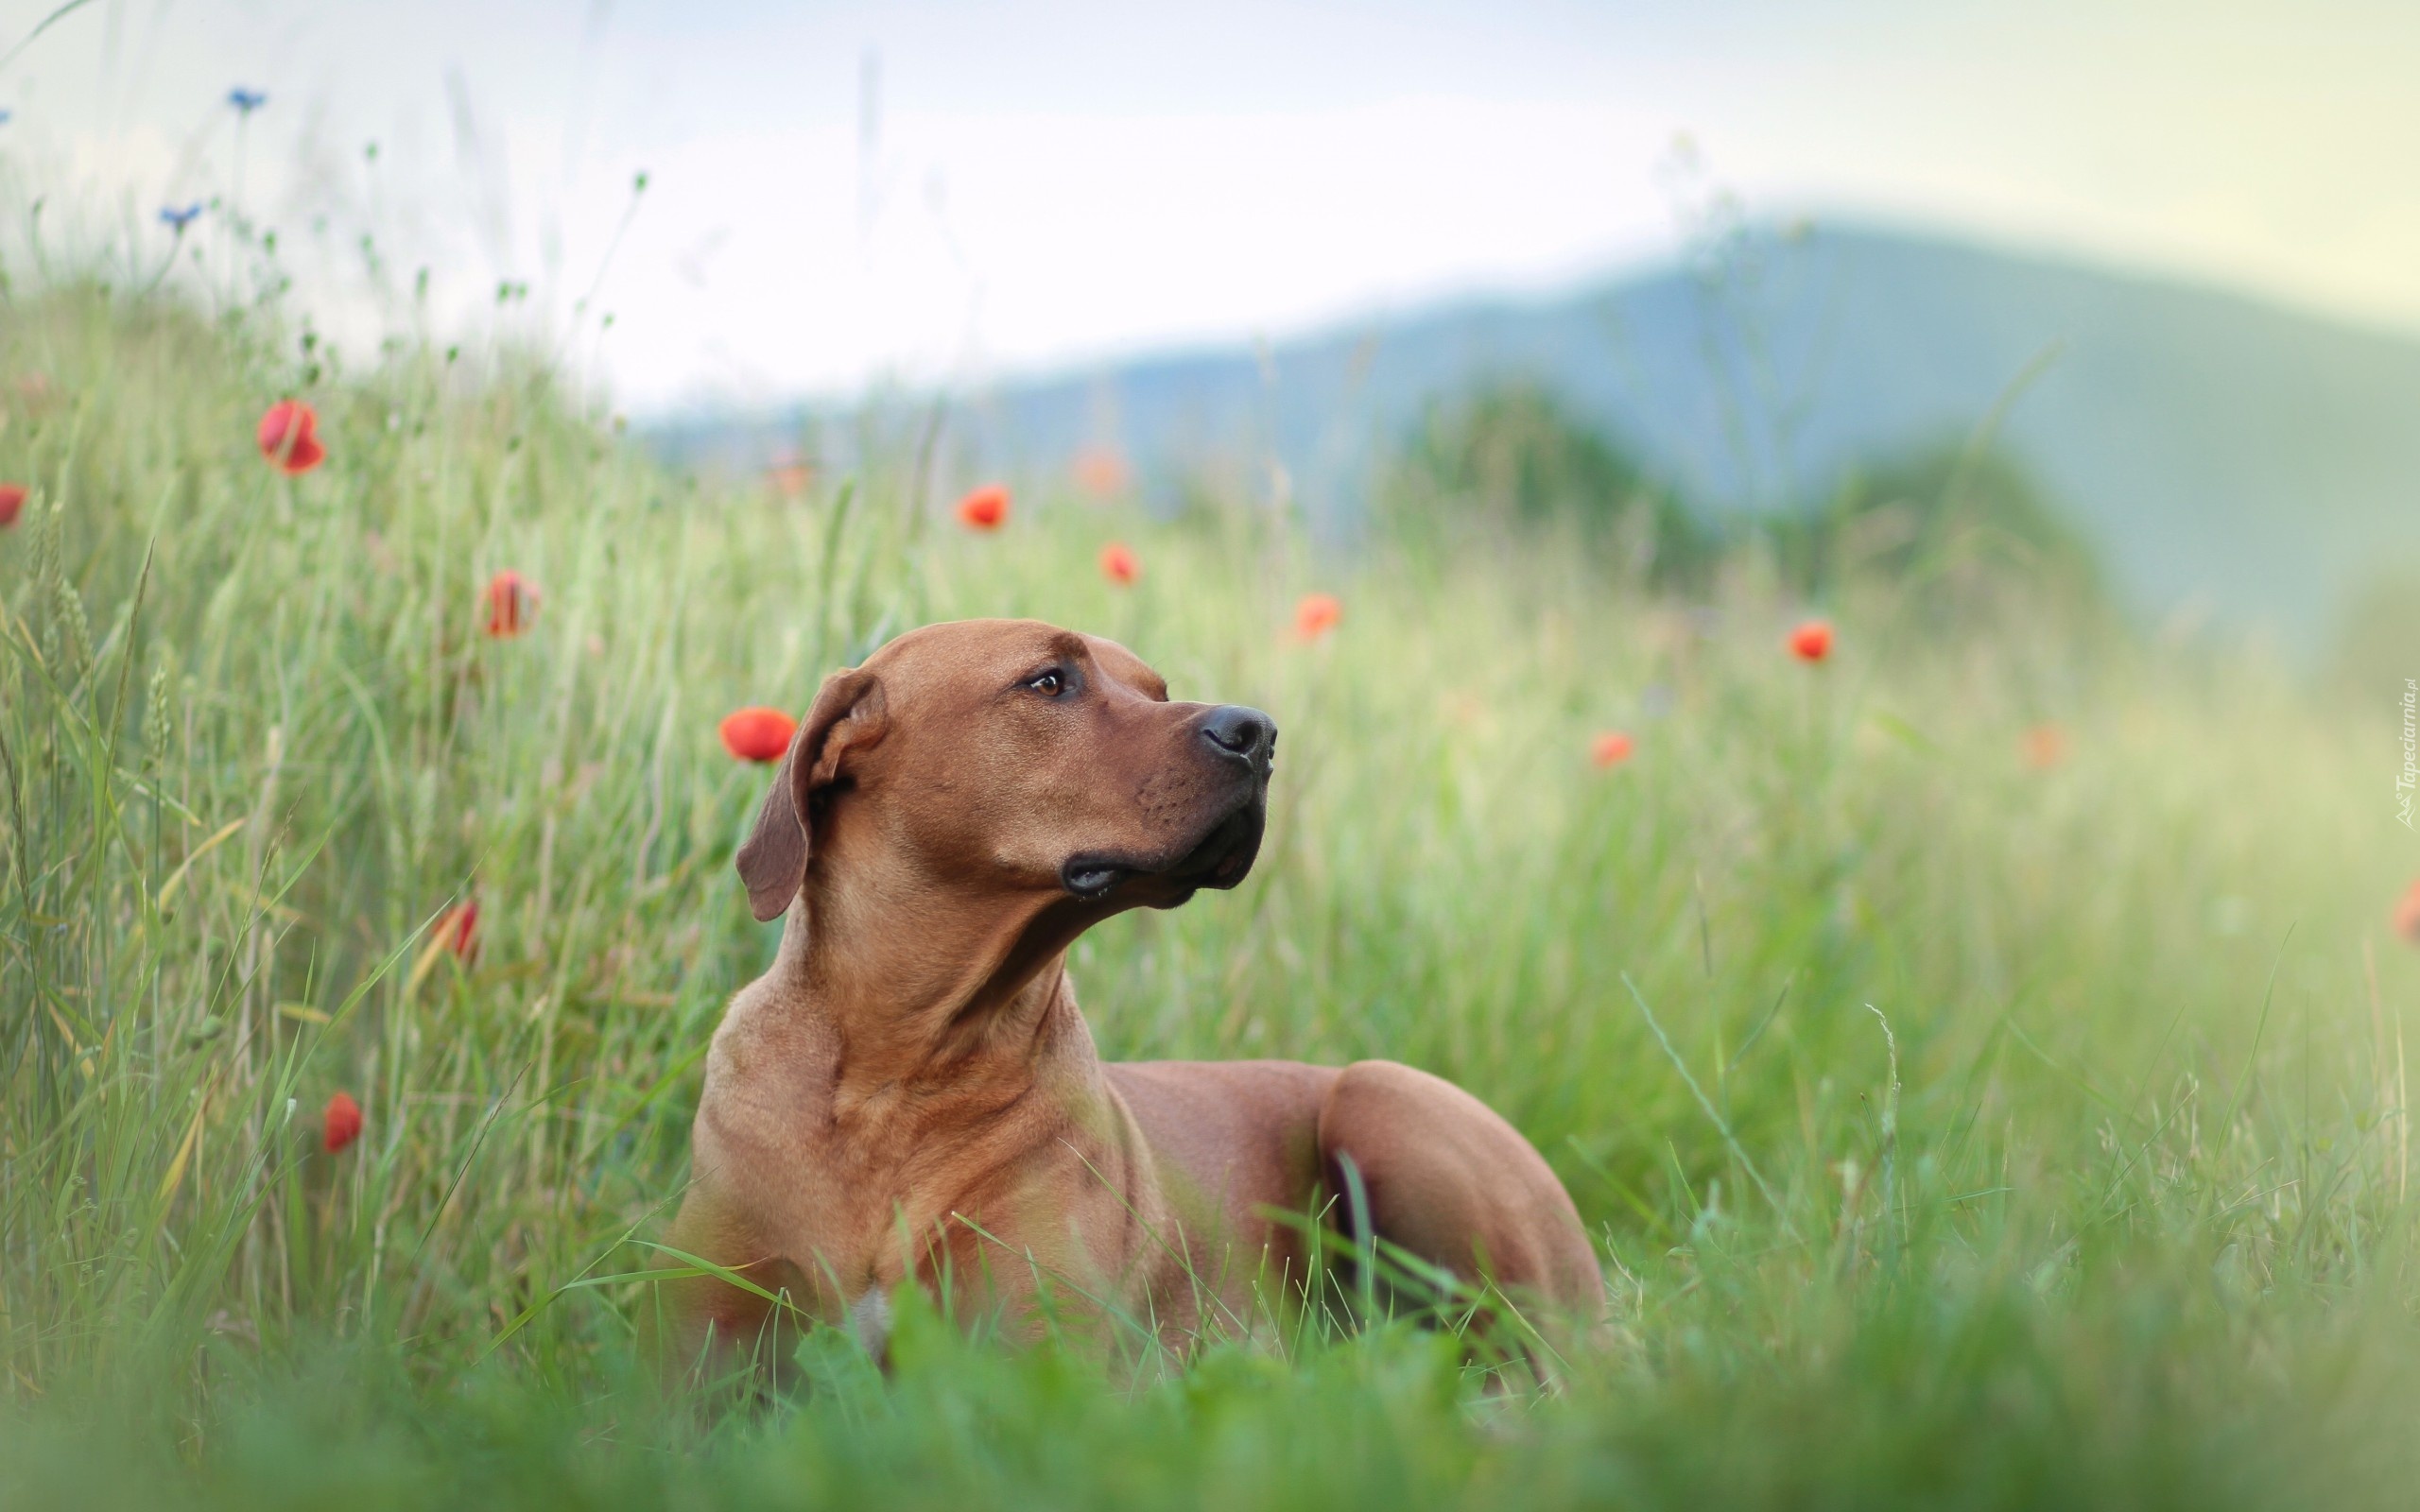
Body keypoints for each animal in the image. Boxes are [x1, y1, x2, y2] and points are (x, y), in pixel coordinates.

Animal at [667, 616, 1606, 1364]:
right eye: (1050, 680)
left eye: (1159, 689)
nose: (1260, 732)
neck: (894, 1074)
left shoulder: (1037, 1366)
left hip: (1387, 1103)